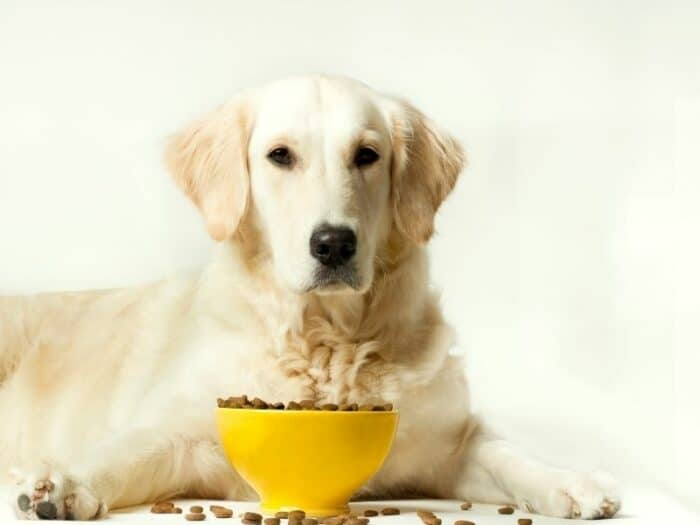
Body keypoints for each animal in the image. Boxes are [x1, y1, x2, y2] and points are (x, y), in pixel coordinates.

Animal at [0, 74, 616, 520]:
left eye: (367, 155)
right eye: (280, 156)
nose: (334, 243)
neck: (328, 339)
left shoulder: (448, 441)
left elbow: (509, 453)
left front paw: (574, 481)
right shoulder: (184, 431)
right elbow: (124, 452)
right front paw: (61, 482)